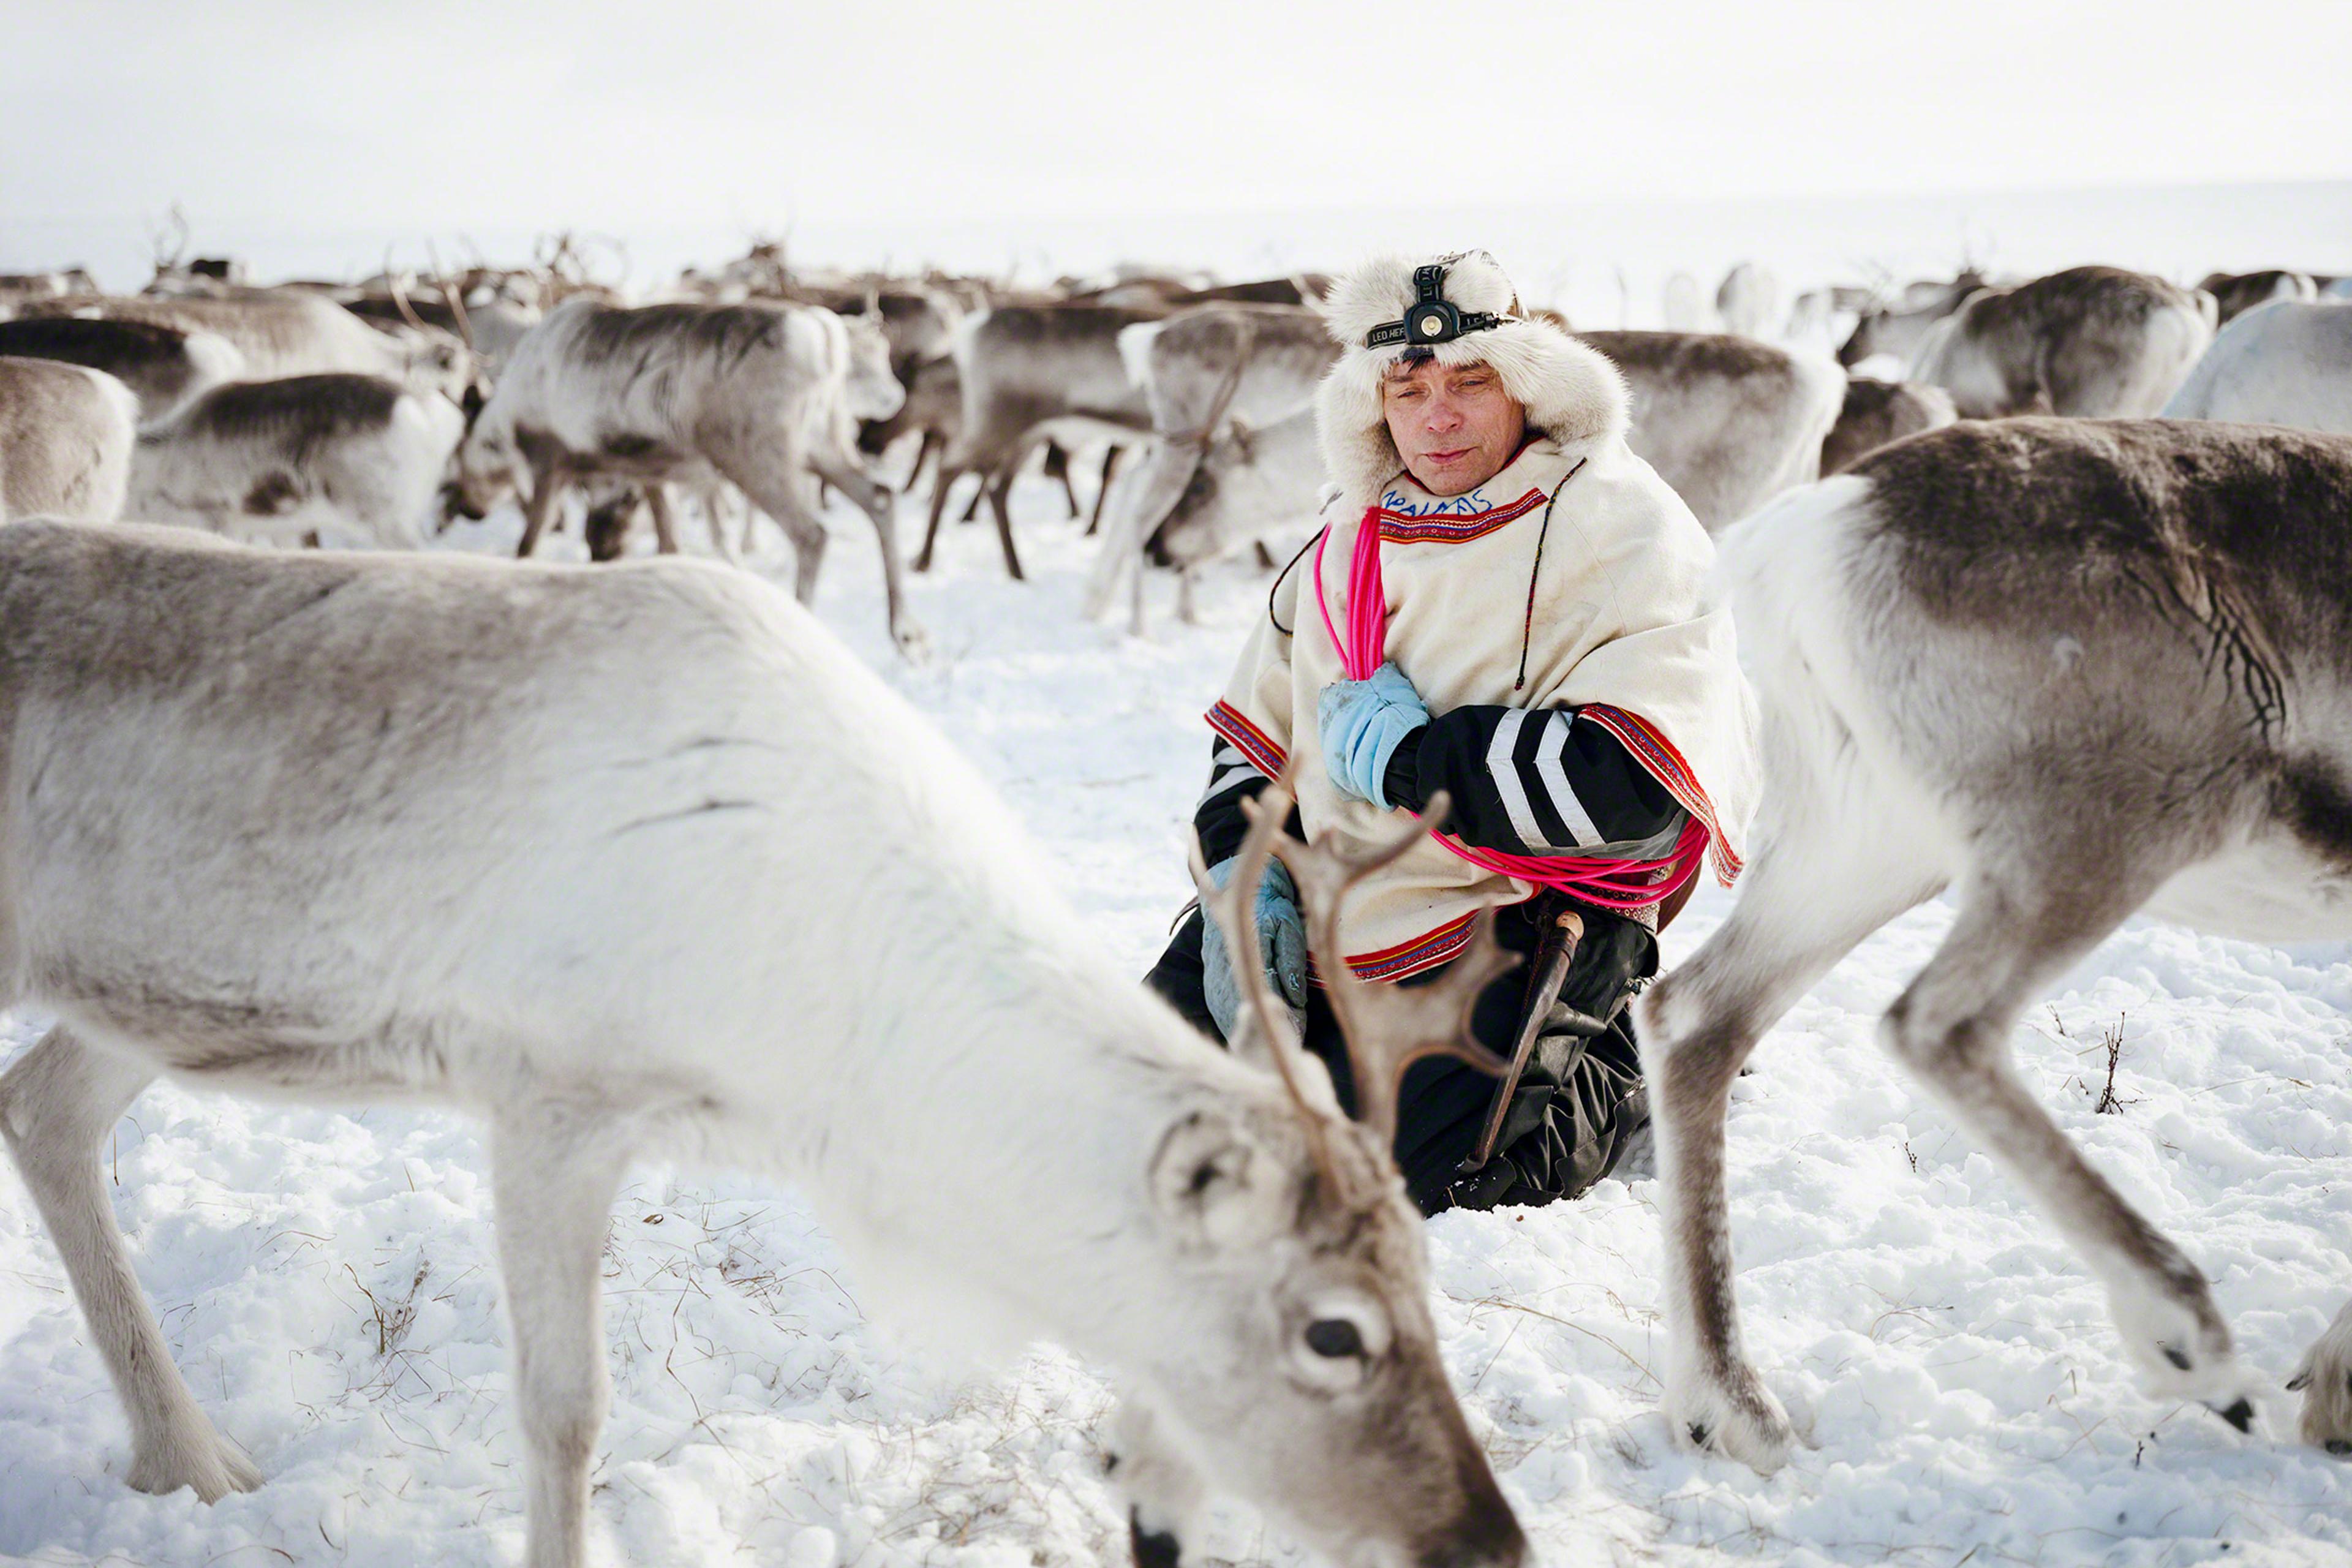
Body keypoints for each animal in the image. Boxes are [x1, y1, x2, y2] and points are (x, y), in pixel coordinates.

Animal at [0, 519, 1527, 1568]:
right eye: (1335, 1329)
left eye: (1430, 1280)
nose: (1489, 1539)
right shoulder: (553, 1094)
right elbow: (566, 1411)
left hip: (145, 989)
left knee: (43, 1103)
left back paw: (189, 1455)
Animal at [1633, 416, 2352, 1472]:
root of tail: (1815, 527)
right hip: (2093, 841)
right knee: (1938, 1026)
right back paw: (2194, 1348)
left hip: (1868, 844)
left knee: (1696, 1017)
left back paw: (1731, 1405)